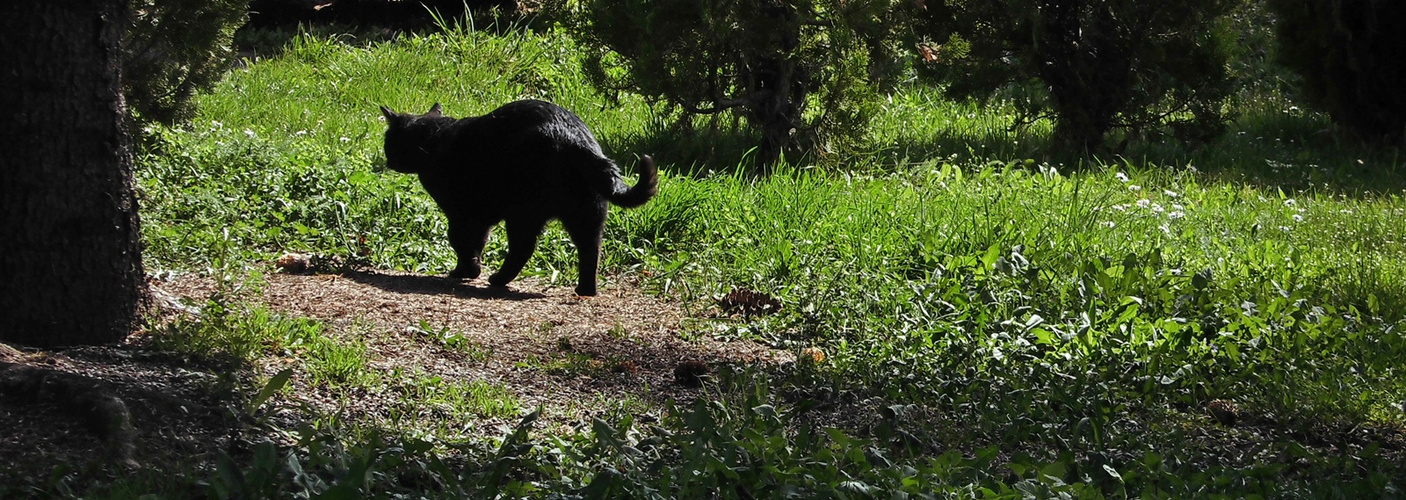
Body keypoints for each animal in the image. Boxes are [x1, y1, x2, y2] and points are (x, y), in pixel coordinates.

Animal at [376, 100, 655, 296]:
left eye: (388, 142)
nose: (388, 160)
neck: (433, 139)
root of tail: (577, 140)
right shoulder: (479, 218)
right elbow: (477, 243)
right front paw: (469, 270)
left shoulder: (462, 213)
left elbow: (460, 242)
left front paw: (466, 271)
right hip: (586, 214)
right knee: (590, 249)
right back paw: (586, 290)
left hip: (523, 213)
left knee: (523, 248)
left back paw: (498, 280)